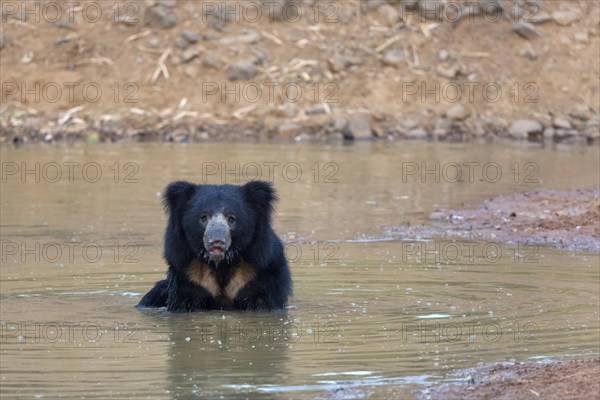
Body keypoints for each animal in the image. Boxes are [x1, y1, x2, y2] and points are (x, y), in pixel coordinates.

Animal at [138, 180, 292, 312]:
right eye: (203, 218)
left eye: (231, 219)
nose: (216, 241)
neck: (220, 264)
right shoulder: (189, 274)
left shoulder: (260, 272)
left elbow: (262, 300)